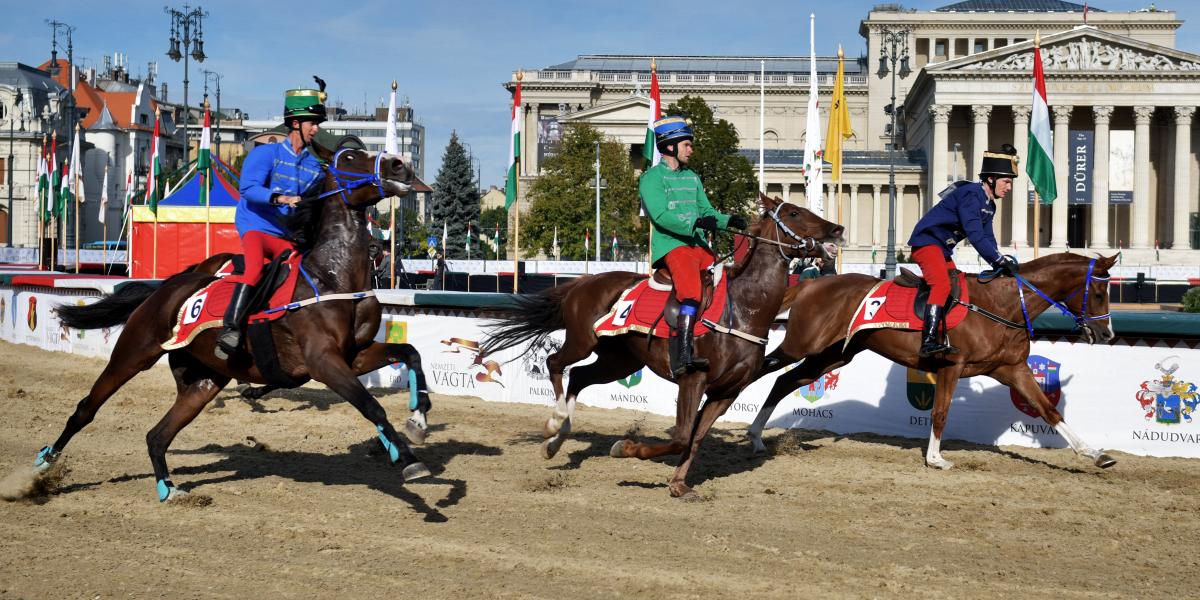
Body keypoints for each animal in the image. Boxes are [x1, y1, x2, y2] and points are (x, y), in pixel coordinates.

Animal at [44, 145, 434, 501]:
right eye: (350, 156)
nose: (400, 165)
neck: (333, 277)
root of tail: (166, 286)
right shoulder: (323, 361)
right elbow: (370, 405)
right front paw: (409, 459)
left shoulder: (355, 354)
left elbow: (411, 353)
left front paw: (418, 421)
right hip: (134, 353)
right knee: (86, 409)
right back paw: (45, 464)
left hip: (204, 380)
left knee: (157, 435)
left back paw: (168, 488)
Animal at [480, 194, 844, 499]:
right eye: (795, 213)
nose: (837, 229)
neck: (742, 309)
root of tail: (584, 282)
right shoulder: (693, 380)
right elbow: (681, 436)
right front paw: (626, 449)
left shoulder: (726, 392)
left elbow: (695, 439)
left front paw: (679, 484)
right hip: (583, 341)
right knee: (556, 363)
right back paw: (555, 424)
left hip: (620, 361)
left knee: (580, 377)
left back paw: (556, 442)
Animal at [744, 252, 1118, 468]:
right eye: (1100, 293)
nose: (1107, 334)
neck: (1003, 304)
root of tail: (809, 285)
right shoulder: (951, 367)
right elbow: (940, 413)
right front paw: (935, 457)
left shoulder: (1012, 369)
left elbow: (1048, 409)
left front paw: (1095, 454)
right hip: (802, 344)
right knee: (761, 370)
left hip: (832, 356)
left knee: (784, 381)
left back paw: (757, 437)